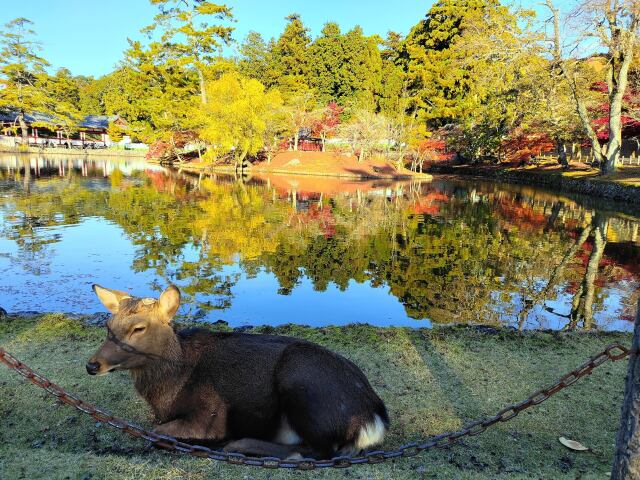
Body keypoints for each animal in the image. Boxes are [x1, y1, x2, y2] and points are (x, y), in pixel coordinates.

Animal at [84, 284, 384, 460]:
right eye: (108, 324)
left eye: (139, 328)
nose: (92, 365)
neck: (168, 391)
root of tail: (374, 419)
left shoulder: (209, 416)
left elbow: (158, 432)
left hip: (301, 383)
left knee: (318, 451)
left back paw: (240, 445)